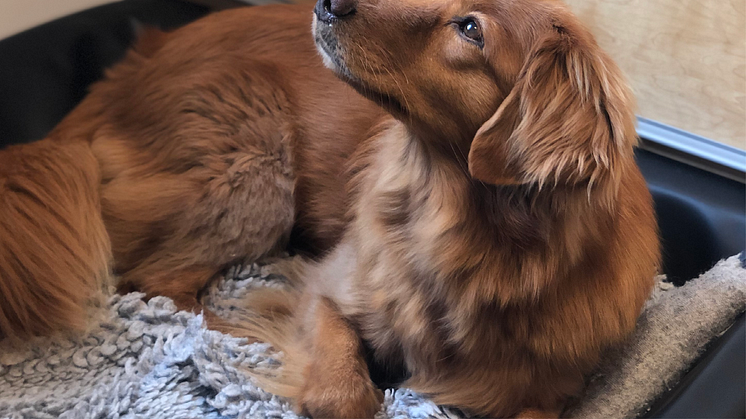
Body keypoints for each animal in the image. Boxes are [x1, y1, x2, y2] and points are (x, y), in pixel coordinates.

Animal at [0, 0, 652, 418]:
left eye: (470, 27)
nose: (330, 0)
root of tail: (131, 67)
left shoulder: (541, 391)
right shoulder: (328, 290)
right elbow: (343, 393)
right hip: (257, 168)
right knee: (158, 286)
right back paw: (235, 332)